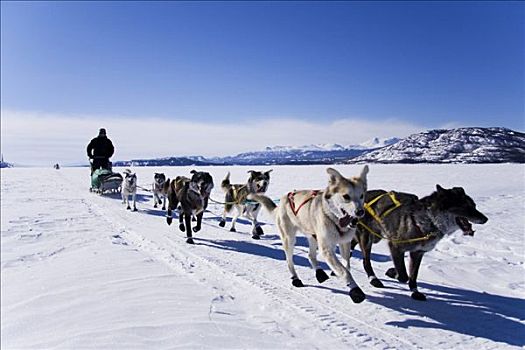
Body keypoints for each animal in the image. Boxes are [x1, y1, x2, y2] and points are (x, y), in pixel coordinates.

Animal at [251, 167, 368, 304]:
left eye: (362, 196)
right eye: (346, 196)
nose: (360, 212)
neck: (334, 219)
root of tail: (283, 199)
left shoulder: (344, 243)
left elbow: (347, 266)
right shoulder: (326, 249)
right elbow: (344, 272)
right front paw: (355, 290)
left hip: (313, 237)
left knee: (310, 255)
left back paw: (319, 272)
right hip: (289, 239)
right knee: (289, 260)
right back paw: (295, 278)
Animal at [348, 186, 488, 300]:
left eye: (474, 205)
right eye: (465, 206)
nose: (485, 219)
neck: (429, 220)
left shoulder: (418, 252)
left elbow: (413, 275)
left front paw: (415, 291)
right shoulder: (395, 247)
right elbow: (403, 275)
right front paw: (393, 272)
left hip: (374, 236)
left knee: (352, 243)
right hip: (367, 238)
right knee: (366, 261)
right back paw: (373, 279)